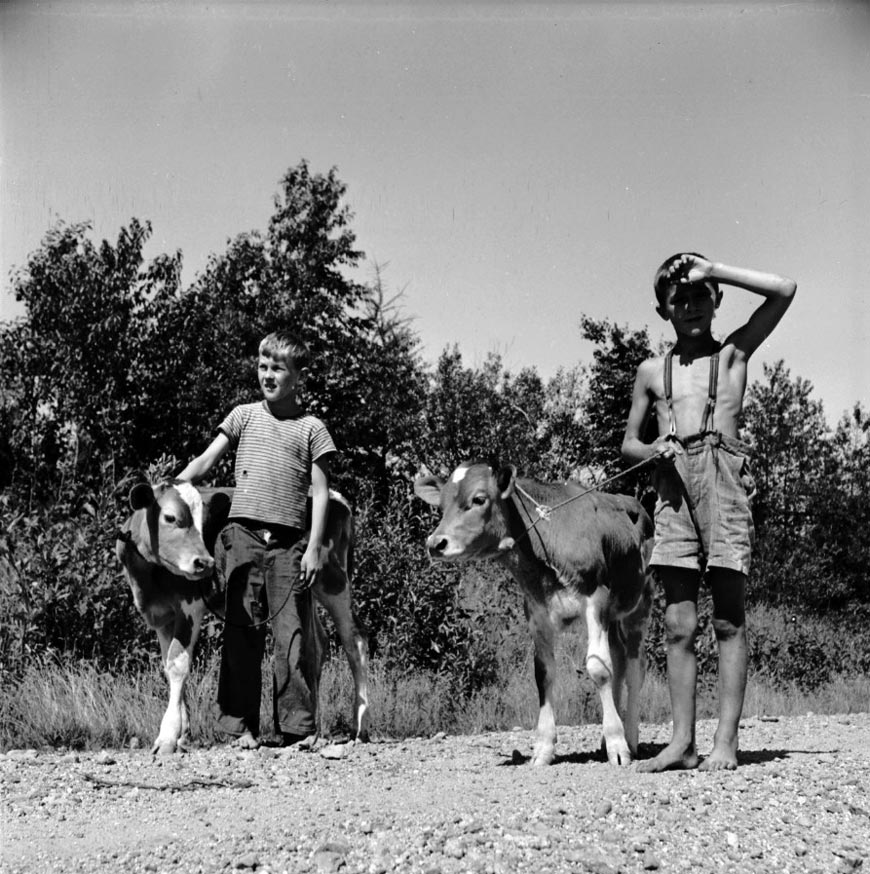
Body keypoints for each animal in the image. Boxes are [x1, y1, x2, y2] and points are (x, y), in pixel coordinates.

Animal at [116, 480, 372, 752]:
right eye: (170, 517)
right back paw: (315, 730)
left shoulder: (190, 607)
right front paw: (182, 733)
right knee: (317, 645)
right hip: (307, 588)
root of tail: (337, 498)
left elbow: (179, 665)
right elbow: (169, 664)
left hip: (332, 578)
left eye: (203, 520)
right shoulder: (162, 615)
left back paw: (360, 726)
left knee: (354, 639)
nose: (205, 562)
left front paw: (167, 736)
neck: (149, 578)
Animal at [416, 464, 656, 764]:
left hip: (638, 605)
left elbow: (598, 669)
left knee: (634, 670)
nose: (435, 543)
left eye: (479, 499)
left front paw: (617, 745)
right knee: (619, 662)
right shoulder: (536, 610)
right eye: (441, 504)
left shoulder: (596, 599)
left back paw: (630, 738)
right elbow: (543, 674)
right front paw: (544, 747)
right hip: (612, 618)